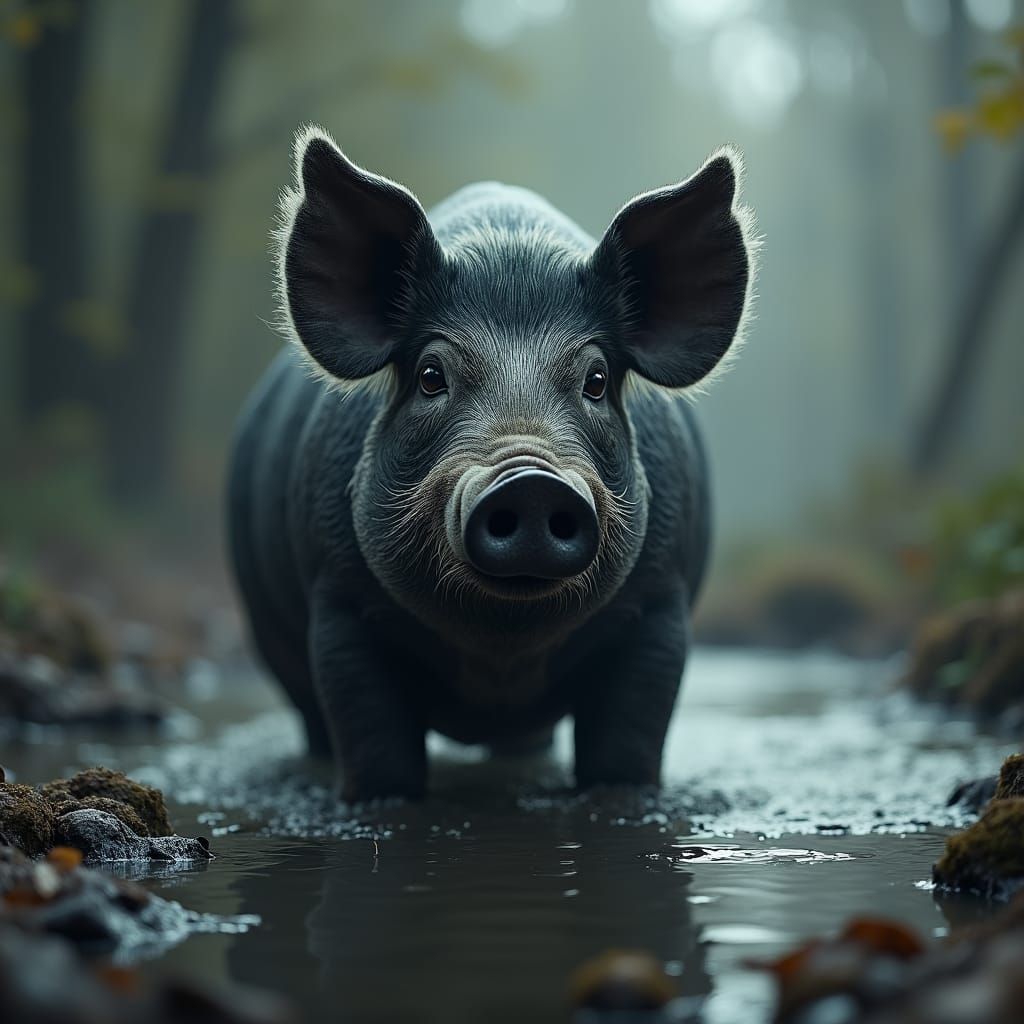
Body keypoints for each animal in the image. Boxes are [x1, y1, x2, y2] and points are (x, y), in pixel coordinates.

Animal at [228, 125, 756, 801]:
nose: (530, 481)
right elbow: (374, 747)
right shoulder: (338, 600)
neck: (500, 654)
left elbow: (626, 749)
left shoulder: (661, 605)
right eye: (431, 375)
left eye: (596, 380)